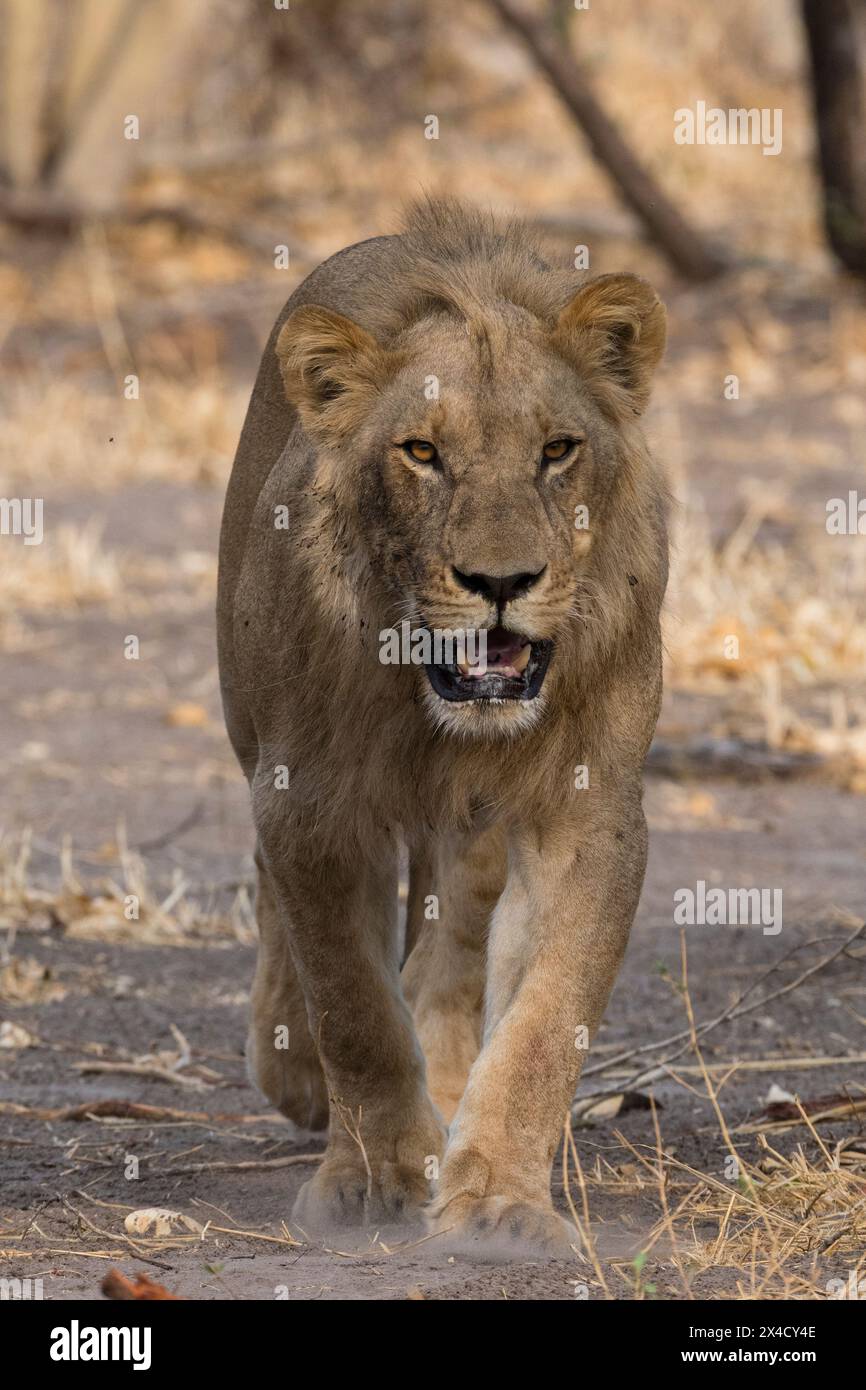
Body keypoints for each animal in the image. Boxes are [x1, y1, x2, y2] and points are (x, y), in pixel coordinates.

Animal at [218, 198, 670, 1262]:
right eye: (422, 452)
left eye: (557, 449)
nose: (502, 582)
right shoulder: (309, 805)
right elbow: (352, 1007)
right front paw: (384, 1180)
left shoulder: (586, 812)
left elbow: (546, 1016)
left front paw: (497, 1201)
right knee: (284, 916)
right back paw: (308, 1095)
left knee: (457, 929)